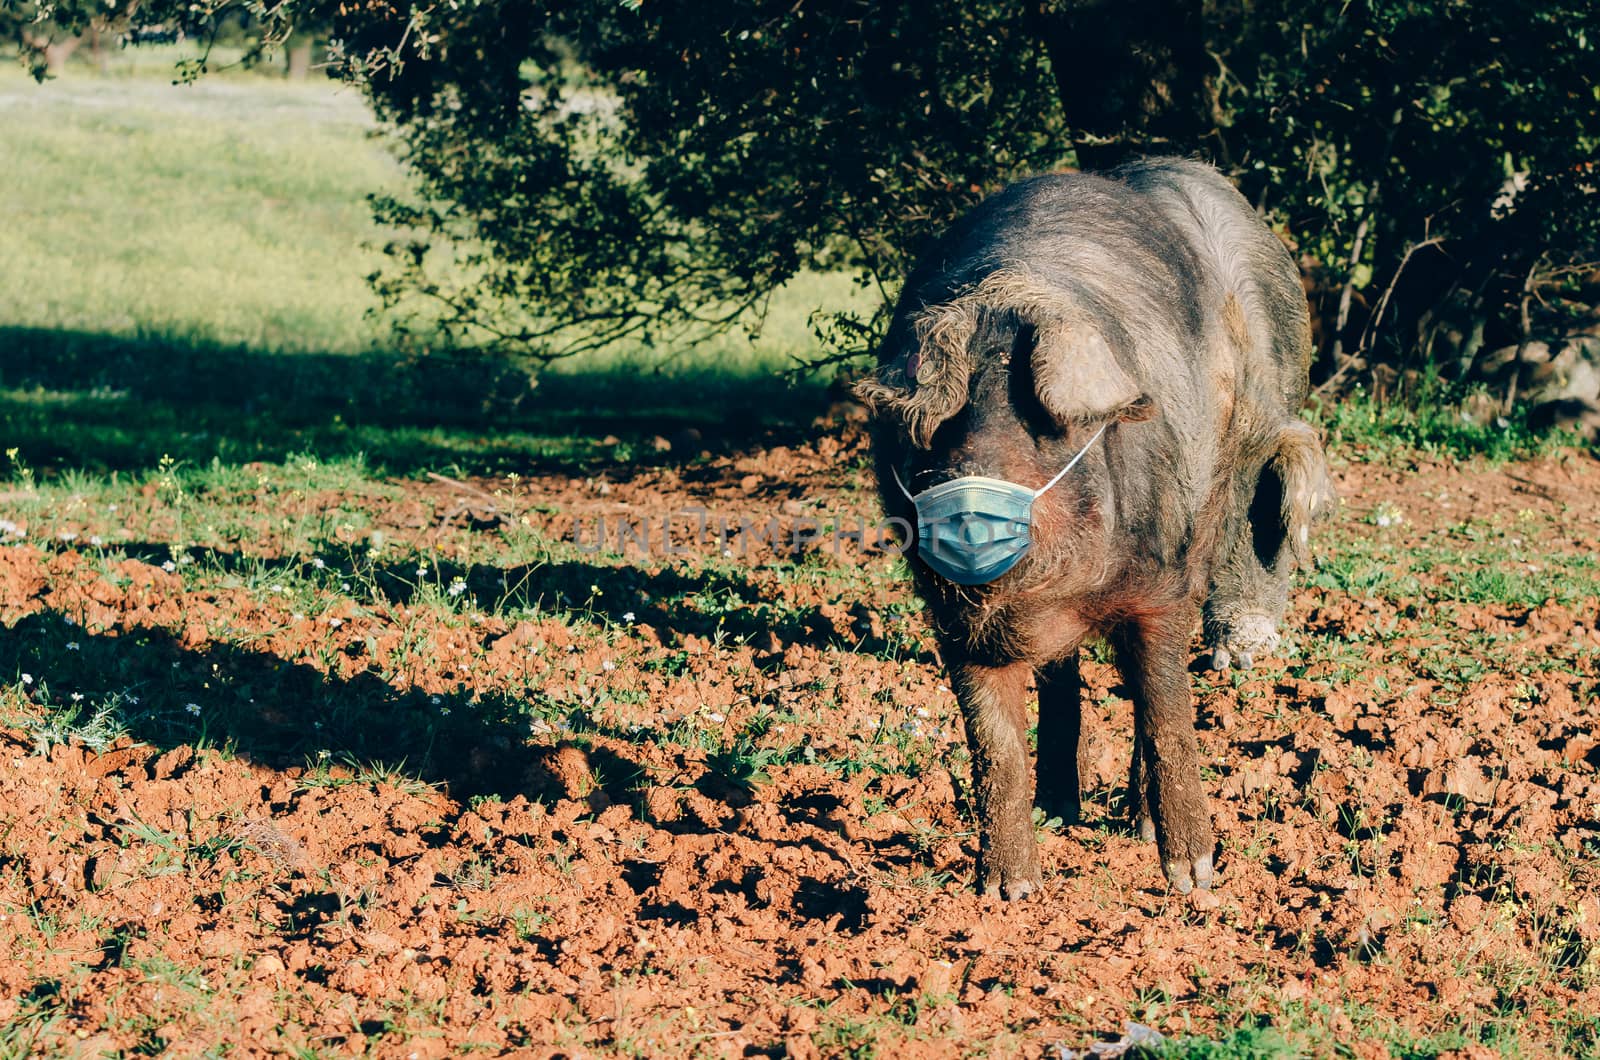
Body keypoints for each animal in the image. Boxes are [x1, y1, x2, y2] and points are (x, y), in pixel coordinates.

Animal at [857, 157, 1331, 903]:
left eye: (1043, 427)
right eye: (947, 424)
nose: (966, 494)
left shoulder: (1164, 581)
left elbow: (1164, 708)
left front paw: (1192, 881)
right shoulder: (953, 617)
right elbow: (993, 743)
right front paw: (1007, 894)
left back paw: (1136, 825)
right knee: (1061, 682)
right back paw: (1061, 810)